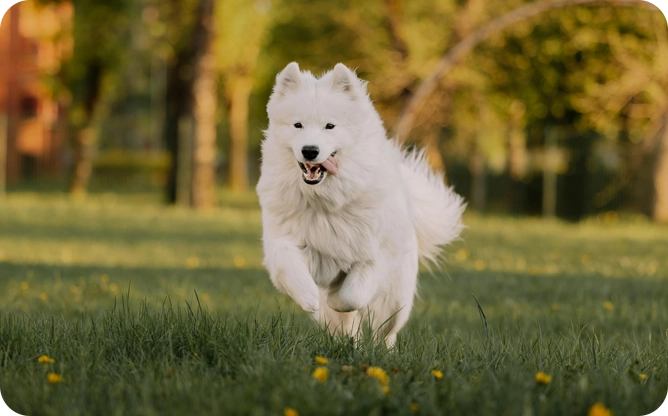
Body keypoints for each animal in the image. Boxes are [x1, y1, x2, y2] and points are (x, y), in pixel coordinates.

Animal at [256, 62, 464, 348]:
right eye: (298, 125)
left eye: (330, 126)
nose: (310, 150)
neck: (326, 202)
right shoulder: (282, 241)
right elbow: (292, 270)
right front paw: (309, 298)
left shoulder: (372, 258)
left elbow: (350, 296)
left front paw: (335, 298)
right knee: (346, 328)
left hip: (395, 299)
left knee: (385, 333)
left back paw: (380, 352)